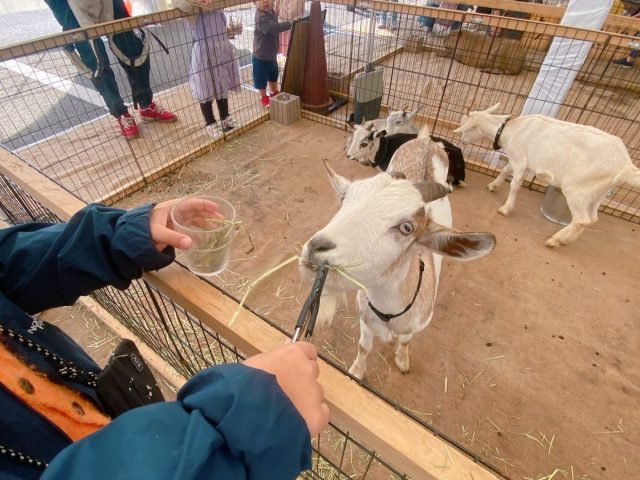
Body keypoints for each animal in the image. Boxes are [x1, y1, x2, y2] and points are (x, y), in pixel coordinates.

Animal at [300, 125, 495, 380]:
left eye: (407, 228)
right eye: (345, 198)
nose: (316, 249)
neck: (388, 312)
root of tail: (425, 140)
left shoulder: (413, 327)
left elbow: (404, 342)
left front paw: (402, 362)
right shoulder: (365, 321)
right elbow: (364, 347)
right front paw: (357, 371)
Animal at [454, 103, 640, 247]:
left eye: (465, 127)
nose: (462, 141)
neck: (509, 130)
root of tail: (625, 165)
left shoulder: (520, 160)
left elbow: (514, 185)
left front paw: (506, 208)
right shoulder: (519, 159)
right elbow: (506, 170)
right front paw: (493, 186)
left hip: (576, 189)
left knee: (582, 219)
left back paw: (555, 240)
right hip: (596, 192)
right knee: (592, 219)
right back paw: (567, 239)